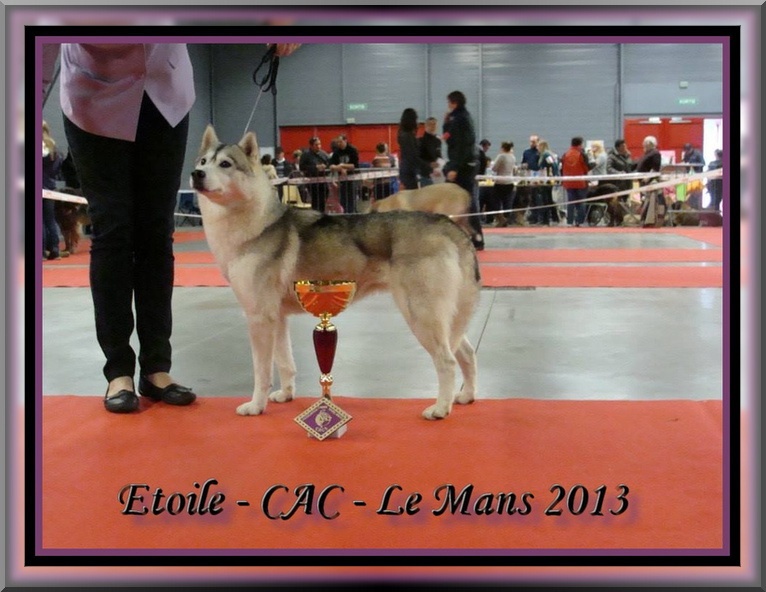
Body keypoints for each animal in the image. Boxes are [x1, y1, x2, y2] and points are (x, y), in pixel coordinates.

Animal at [190, 125, 480, 420]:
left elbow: (261, 371)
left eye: (225, 164)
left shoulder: (259, 317)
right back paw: (465, 396)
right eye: (203, 161)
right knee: (467, 354)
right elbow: (285, 362)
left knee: (447, 361)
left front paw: (255, 405)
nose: (196, 174)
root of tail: (448, 226)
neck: (257, 224)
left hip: (421, 314)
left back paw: (441, 408)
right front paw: (286, 394)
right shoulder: (277, 318)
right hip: (443, 317)